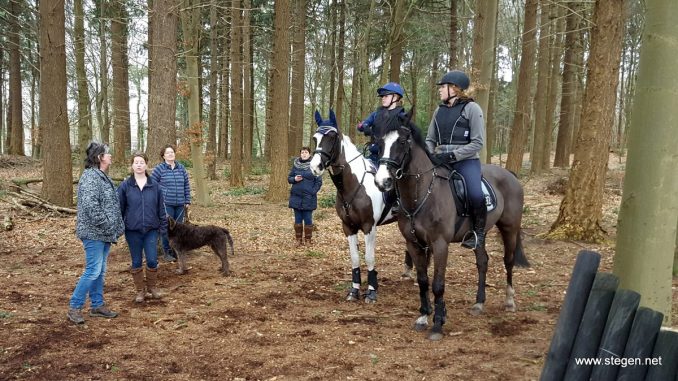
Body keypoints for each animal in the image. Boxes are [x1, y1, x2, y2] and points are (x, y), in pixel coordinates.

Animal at [374, 111, 528, 340]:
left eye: (402, 141)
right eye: (381, 142)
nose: (381, 181)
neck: (422, 194)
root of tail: (509, 174)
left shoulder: (439, 244)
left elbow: (438, 284)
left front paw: (438, 324)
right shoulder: (414, 244)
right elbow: (423, 280)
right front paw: (423, 317)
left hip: (509, 228)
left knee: (508, 261)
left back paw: (509, 301)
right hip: (479, 235)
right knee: (483, 262)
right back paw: (479, 303)